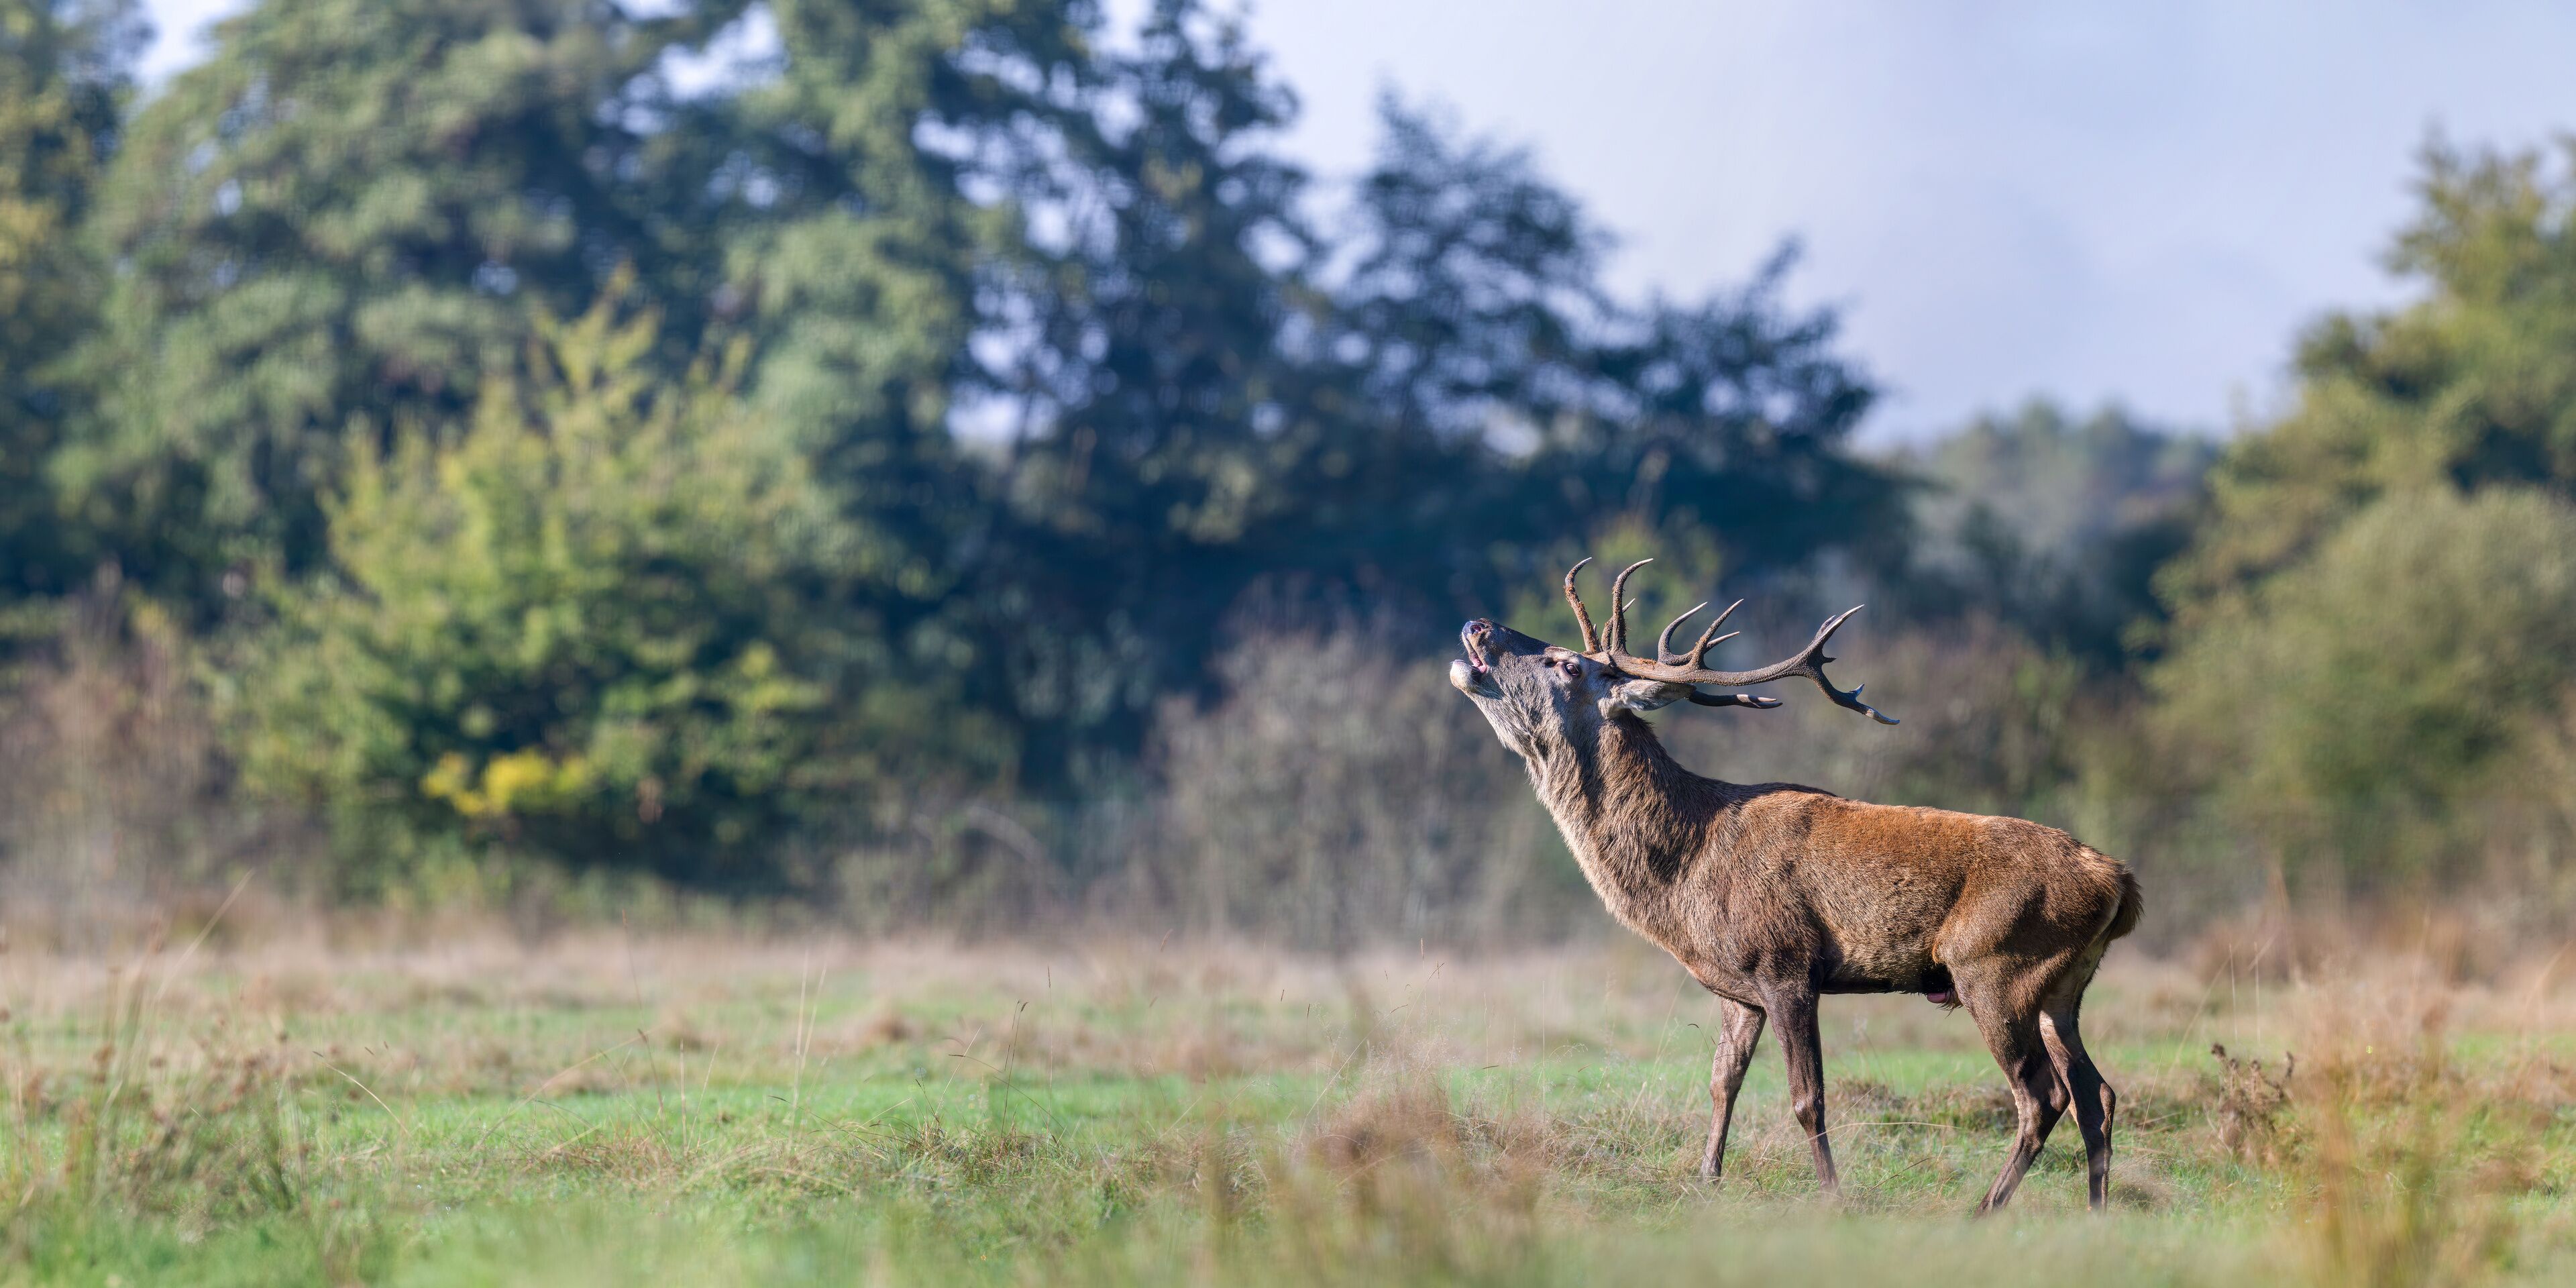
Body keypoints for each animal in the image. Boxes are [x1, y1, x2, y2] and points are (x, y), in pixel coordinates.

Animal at [1449, 558, 2142, 1214]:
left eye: (1565, 664)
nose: (1478, 624)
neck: (1683, 874)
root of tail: (2119, 880)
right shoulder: (1738, 990)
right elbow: (1721, 1082)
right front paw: (1707, 1181)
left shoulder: (1786, 965)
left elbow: (1807, 1097)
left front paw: (1833, 1199)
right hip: (2061, 987)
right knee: (2097, 1094)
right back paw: (2095, 1212)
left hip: (1995, 966)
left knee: (2042, 1095)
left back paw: (1984, 1210)